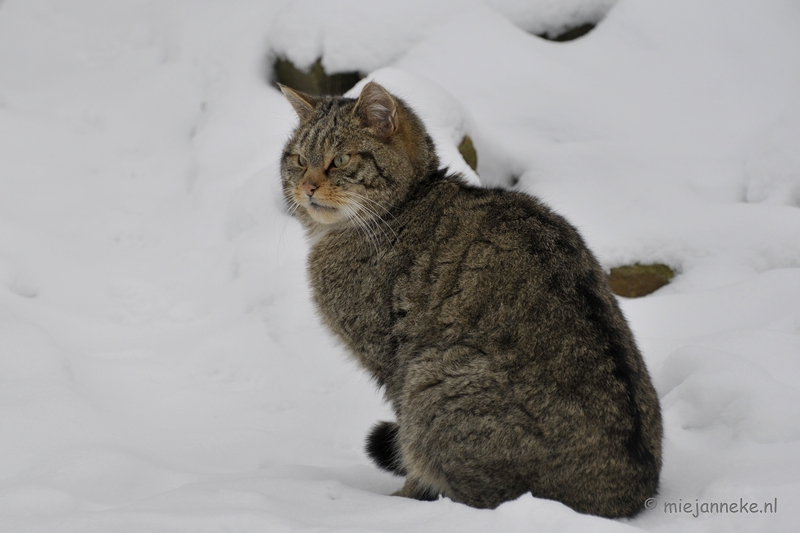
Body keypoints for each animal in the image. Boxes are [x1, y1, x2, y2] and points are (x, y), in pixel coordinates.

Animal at [278, 80, 660, 516]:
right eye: (298, 159)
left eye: (340, 159)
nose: (306, 186)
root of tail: (630, 497)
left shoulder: (393, 363)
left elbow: (409, 451)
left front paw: (402, 501)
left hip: (431, 377)